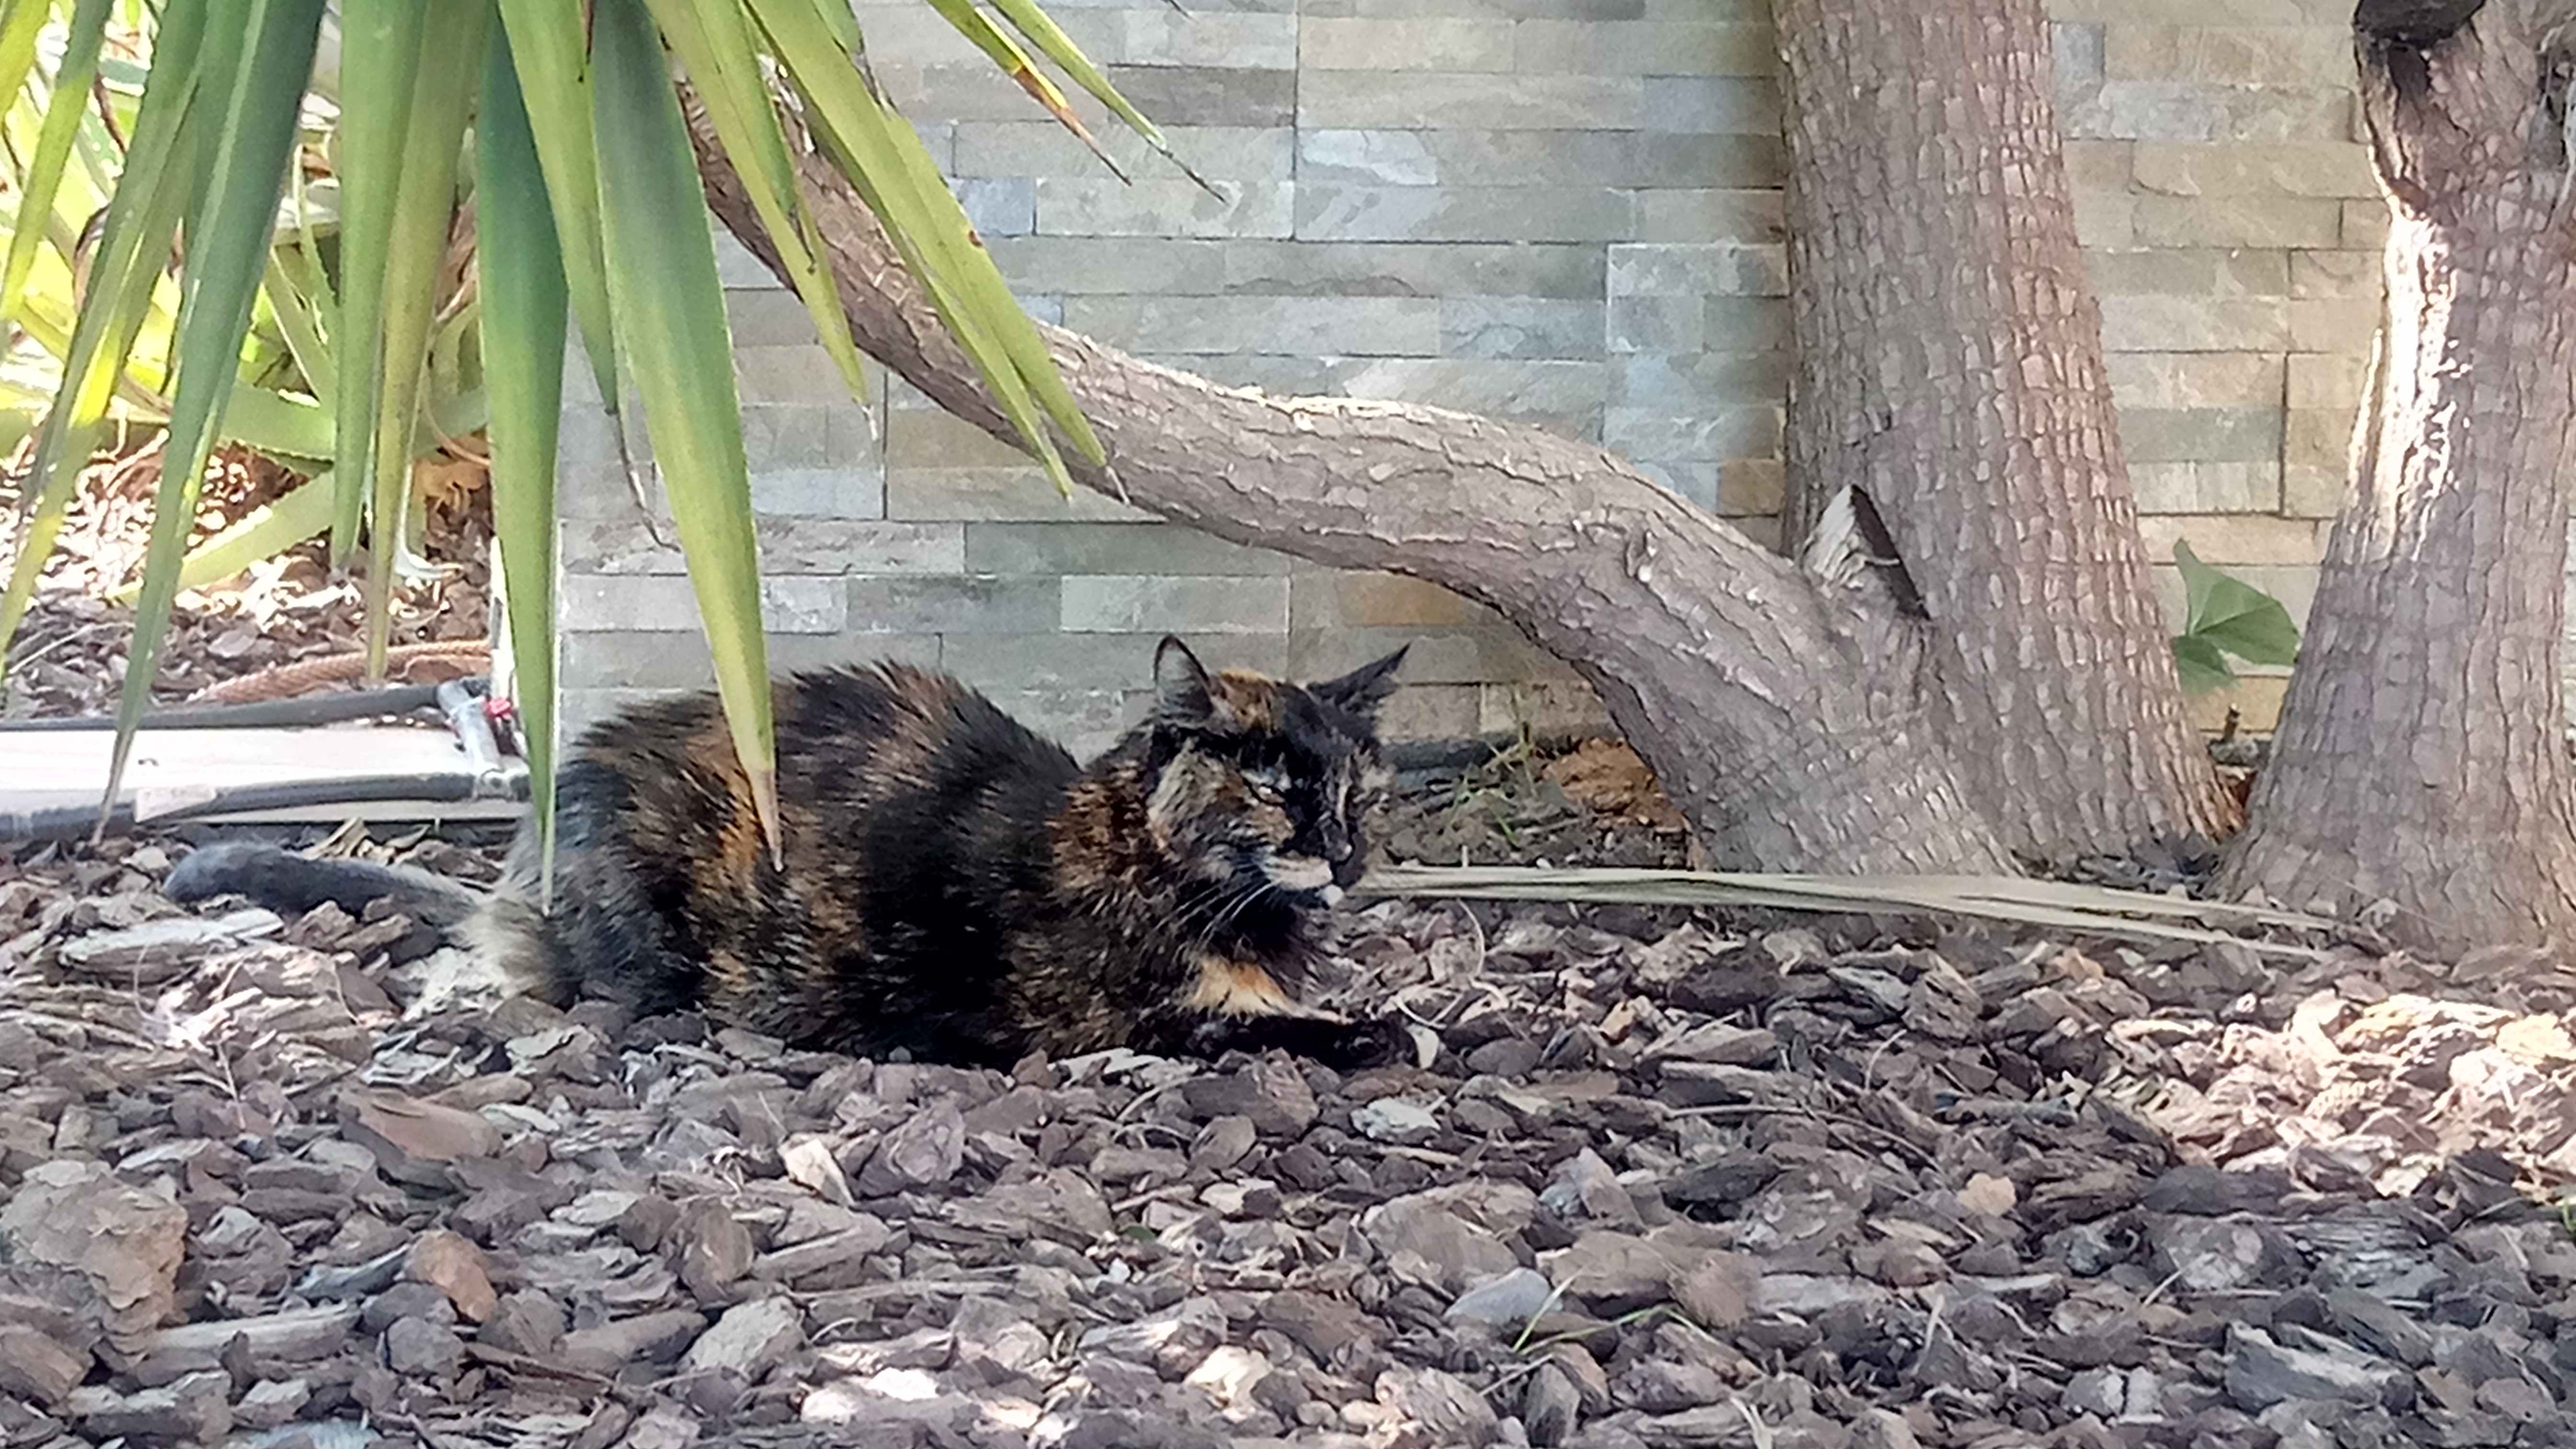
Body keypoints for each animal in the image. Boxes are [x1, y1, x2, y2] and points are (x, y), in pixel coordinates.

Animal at [165, 635, 1414, 1071]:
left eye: (1362, 790)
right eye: (1275, 791)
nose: (1346, 856)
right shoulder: (1117, 1016)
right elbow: (1261, 1022)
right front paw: (1380, 1031)